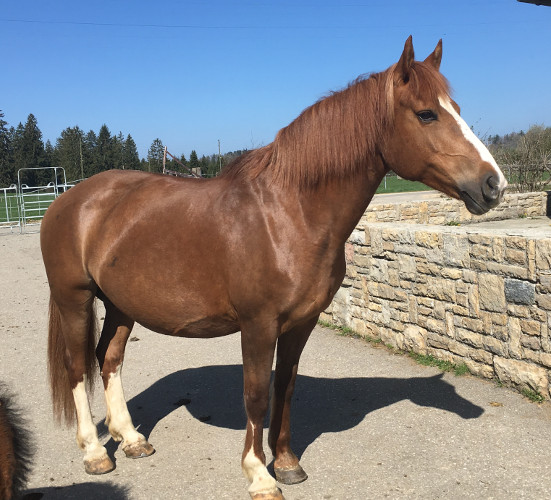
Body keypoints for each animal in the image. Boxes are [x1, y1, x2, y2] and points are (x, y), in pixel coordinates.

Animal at [42, 37, 508, 498]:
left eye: (456, 109)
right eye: (427, 113)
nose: (494, 184)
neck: (289, 214)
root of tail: (69, 199)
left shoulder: (301, 322)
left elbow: (285, 385)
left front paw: (286, 463)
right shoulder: (258, 324)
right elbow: (256, 394)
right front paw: (259, 475)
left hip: (121, 304)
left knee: (109, 358)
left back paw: (131, 438)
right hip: (75, 300)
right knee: (77, 366)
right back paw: (95, 453)